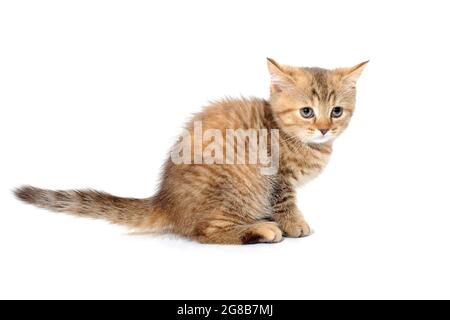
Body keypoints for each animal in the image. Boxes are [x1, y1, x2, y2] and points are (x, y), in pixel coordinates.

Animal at [14, 58, 368, 245]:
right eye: (307, 112)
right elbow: (285, 201)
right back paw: (261, 229)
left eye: (336, 111)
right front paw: (294, 223)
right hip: (239, 184)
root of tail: (165, 200)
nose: (324, 128)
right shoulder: (277, 175)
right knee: (207, 232)